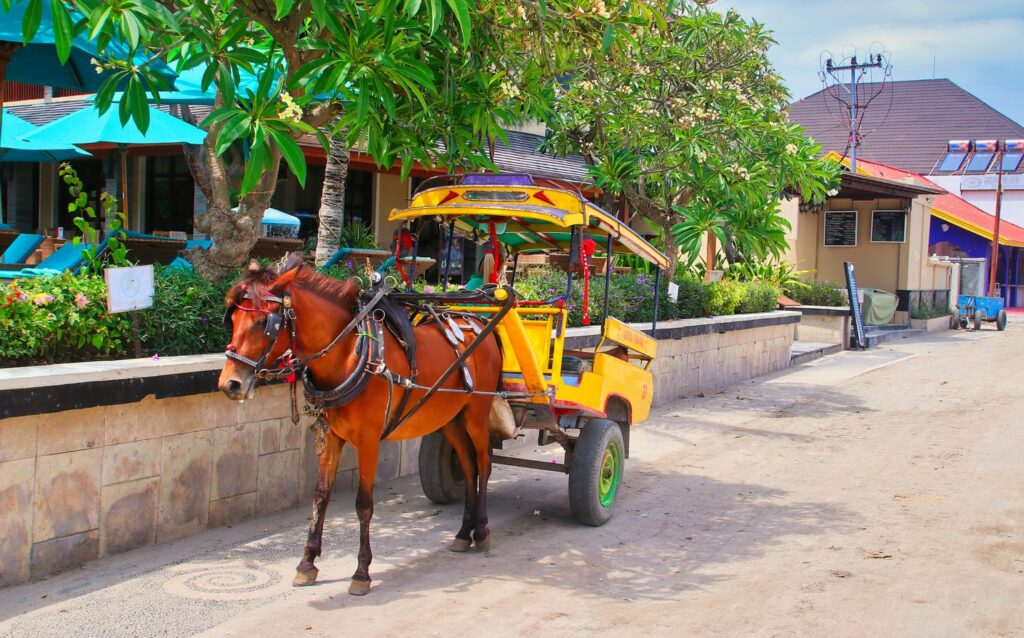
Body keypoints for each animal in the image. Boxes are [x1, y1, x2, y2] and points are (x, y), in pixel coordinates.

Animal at [218, 258, 501, 593]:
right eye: (232, 318)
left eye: (264, 322)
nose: (230, 384)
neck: (350, 357)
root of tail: (476, 322)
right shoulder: (332, 437)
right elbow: (320, 497)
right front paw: (307, 563)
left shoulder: (368, 441)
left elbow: (364, 504)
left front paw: (362, 571)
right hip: (450, 419)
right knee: (468, 467)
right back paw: (462, 533)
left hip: (476, 414)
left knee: (483, 464)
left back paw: (481, 530)